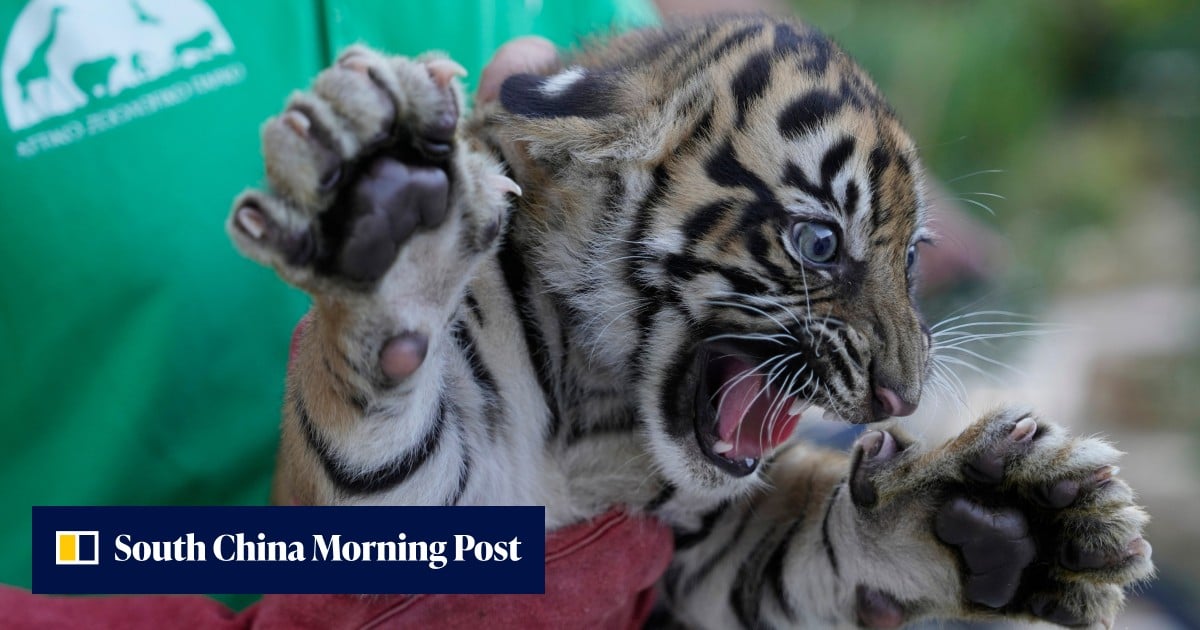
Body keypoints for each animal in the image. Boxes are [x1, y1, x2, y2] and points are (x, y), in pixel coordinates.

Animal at [226, 14, 1153, 628]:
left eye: (914, 259)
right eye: (820, 242)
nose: (903, 396)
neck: (596, 413)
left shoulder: (703, 550)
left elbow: (813, 548)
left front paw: (1003, 514)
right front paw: (388, 197)